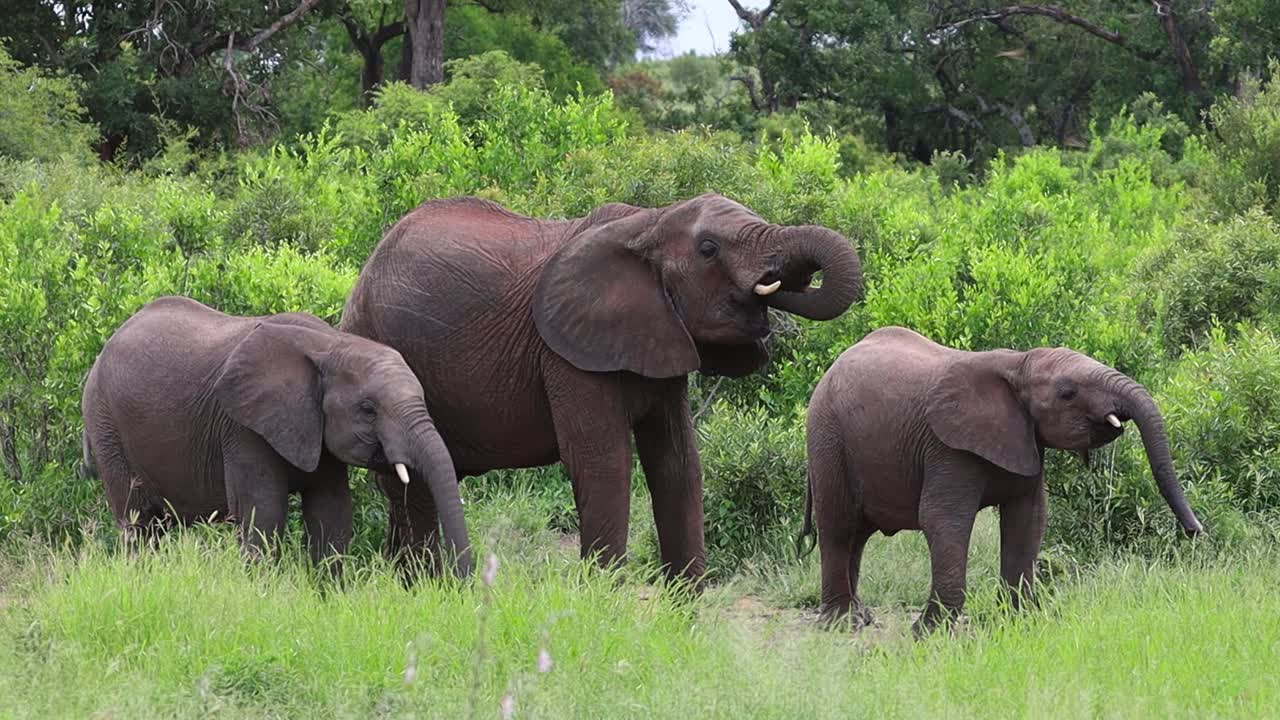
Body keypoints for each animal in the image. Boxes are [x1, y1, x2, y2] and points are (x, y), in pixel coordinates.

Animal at [80, 296, 472, 575]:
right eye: (368, 409)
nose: (463, 583)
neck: (331, 344)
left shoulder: (316, 432)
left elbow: (332, 513)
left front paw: (329, 600)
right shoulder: (242, 427)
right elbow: (263, 515)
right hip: (106, 425)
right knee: (137, 522)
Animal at [340, 194, 863, 583]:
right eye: (709, 249)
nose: (781, 286)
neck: (649, 222)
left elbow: (677, 464)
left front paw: (685, 614)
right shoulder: (566, 353)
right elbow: (604, 462)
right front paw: (604, 602)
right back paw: (424, 587)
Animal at [797, 326, 1204, 635]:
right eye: (1068, 392)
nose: (1195, 531)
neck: (1017, 363)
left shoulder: (1026, 440)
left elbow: (1029, 519)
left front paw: (1017, 622)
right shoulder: (947, 447)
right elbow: (944, 520)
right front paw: (928, 634)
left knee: (858, 533)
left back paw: (862, 616)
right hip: (827, 438)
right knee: (838, 525)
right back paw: (842, 624)